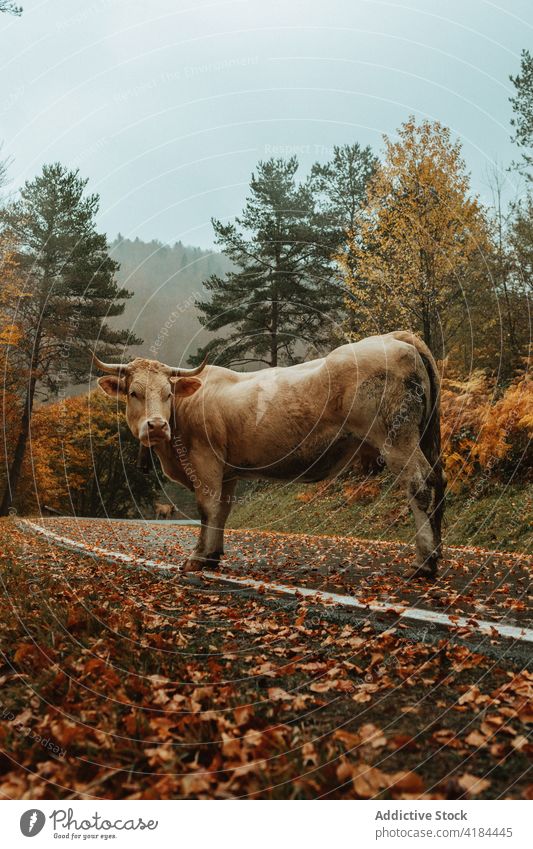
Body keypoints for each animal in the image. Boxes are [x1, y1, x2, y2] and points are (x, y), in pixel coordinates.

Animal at [95, 330, 444, 576]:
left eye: (168, 393)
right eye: (134, 392)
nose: (156, 426)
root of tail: (392, 337)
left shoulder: (204, 461)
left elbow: (207, 508)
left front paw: (196, 557)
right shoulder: (227, 470)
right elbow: (222, 510)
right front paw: (212, 556)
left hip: (397, 439)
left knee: (419, 484)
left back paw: (423, 562)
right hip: (422, 437)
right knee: (437, 481)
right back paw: (437, 553)